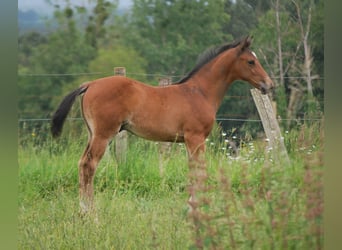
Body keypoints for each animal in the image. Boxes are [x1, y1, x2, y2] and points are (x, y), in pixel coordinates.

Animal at [51, 36, 276, 212]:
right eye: (250, 61)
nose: (269, 84)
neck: (199, 92)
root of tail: (89, 84)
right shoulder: (196, 138)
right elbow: (200, 172)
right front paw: (198, 209)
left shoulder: (188, 141)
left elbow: (192, 172)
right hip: (103, 135)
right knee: (89, 166)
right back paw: (91, 214)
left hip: (92, 134)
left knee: (82, 164)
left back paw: (83, 212)